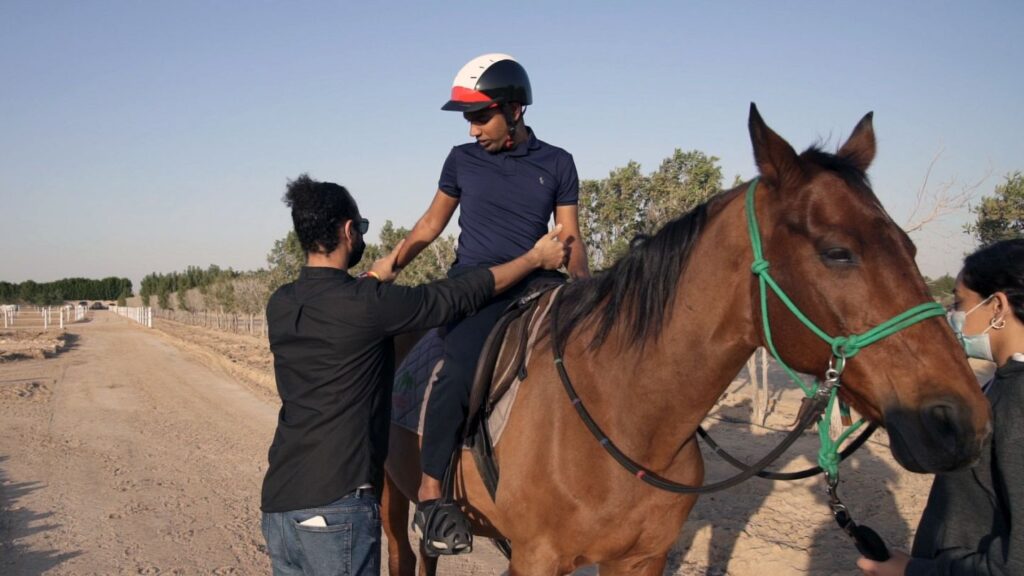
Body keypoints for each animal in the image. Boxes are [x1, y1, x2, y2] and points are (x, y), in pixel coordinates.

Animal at [380, 104, 987, 573]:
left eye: (909, 247)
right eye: (837, 252)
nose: (960, 421)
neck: (625, 412)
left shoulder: (641, 560)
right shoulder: (536, 559)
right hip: (390, 493)